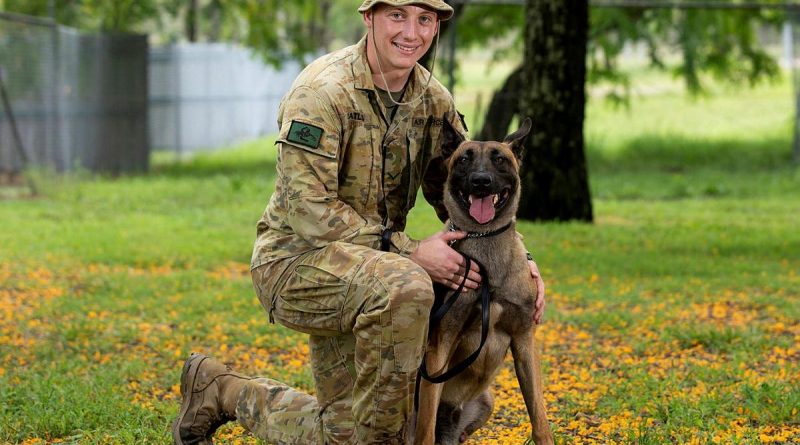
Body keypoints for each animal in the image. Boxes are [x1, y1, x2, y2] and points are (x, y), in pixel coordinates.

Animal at [410, 117, 552, 444]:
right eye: (464, 159)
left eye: (500, 159)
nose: (481, 181)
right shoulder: (440, 347)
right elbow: (425, 427)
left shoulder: (524, 342)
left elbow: (539, 418)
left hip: (486, 402)